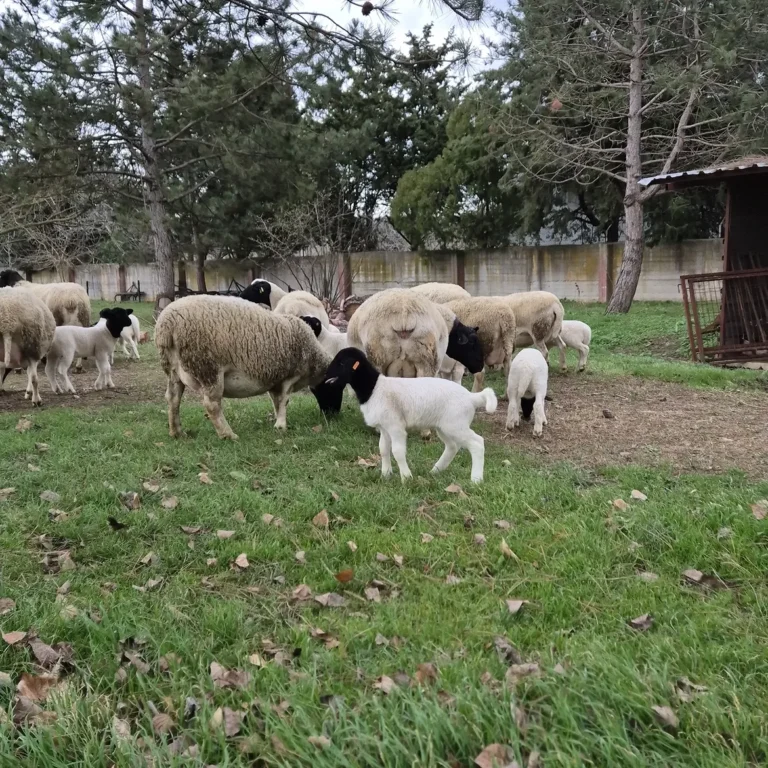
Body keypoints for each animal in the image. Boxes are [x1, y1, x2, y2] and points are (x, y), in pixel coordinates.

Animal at [154, 295, 340, 440]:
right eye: (332, 389)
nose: (333, 415)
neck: (313, 356)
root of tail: (167, 325)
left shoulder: (275, 379)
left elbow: (276, 401)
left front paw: (276, 421)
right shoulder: (290, 376)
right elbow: (284, 400)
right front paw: (281, 426)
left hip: (173, 369)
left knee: (172, 398)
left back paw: (177, 432)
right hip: (207, 367)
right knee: (212, 405)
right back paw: (228, 435)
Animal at [320, 347, 497, 483]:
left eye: (341, 362)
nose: (325, 376)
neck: (373, 388)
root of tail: (472, 397)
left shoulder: (395, 426)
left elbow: (397, 451)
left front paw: (406, 477)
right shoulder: (384, 427)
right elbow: (383, 449)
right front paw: (385, 475)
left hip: (456, 424)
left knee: (477, 443)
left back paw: (476, 480)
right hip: (445, 427)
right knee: (452, 446)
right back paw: (436, 471)